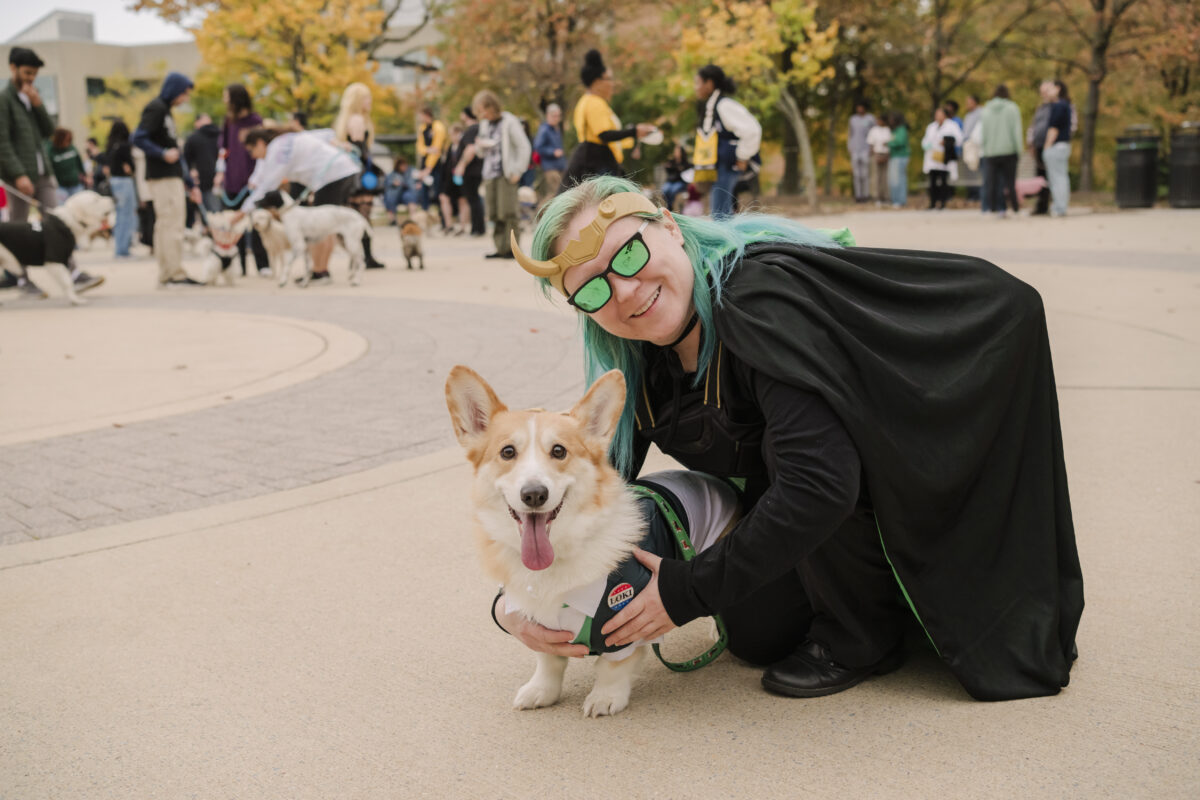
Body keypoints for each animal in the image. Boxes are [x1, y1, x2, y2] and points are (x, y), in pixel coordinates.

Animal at [446, 367, 734, 714]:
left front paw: (605, 698)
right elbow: (548, 660)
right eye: (507, 452)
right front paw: (541, 691)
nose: (534, 494)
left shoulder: (624, 626)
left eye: (559, 451)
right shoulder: (538, 622)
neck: (558, 557)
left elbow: (612, 666)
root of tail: (718, 481)